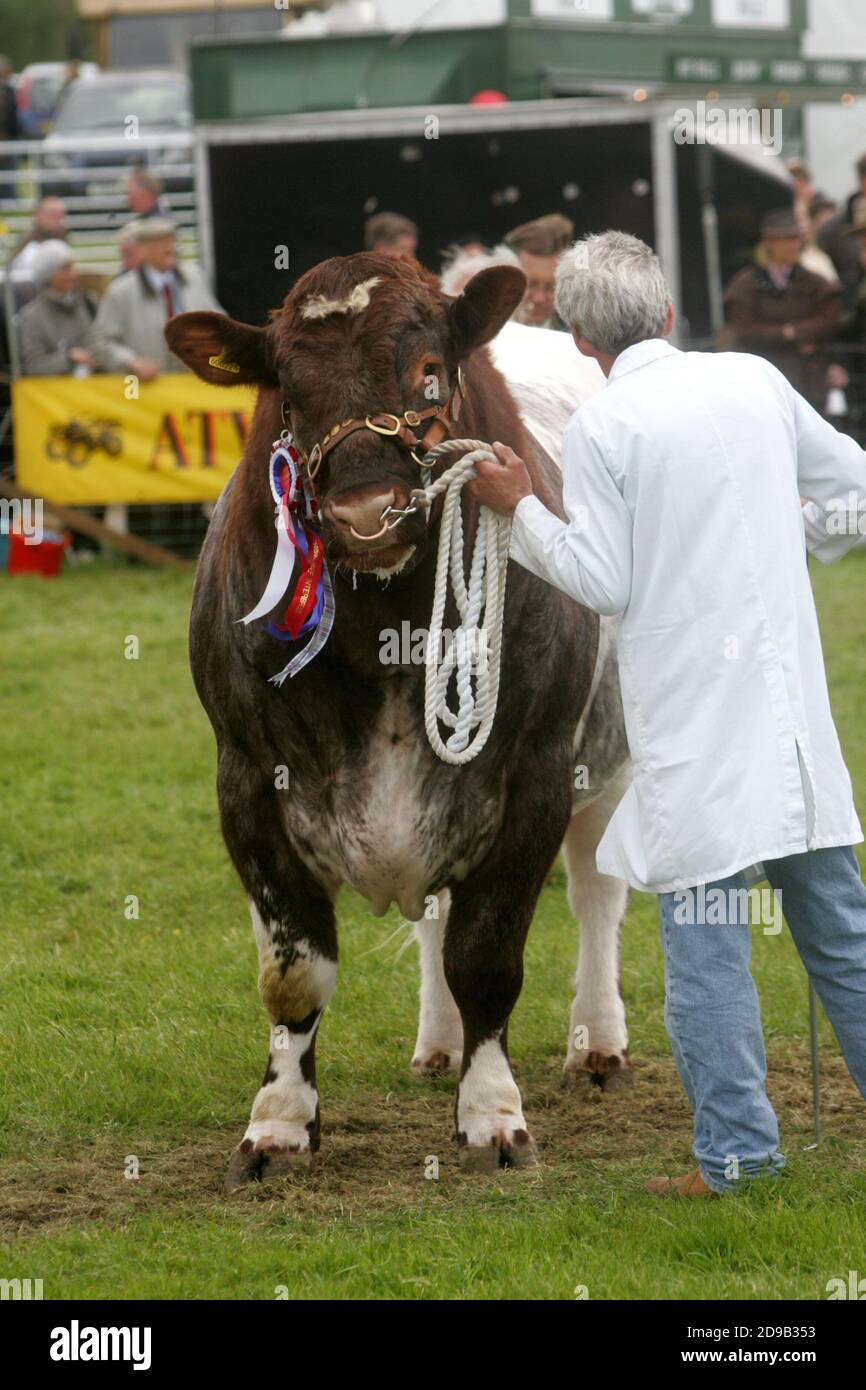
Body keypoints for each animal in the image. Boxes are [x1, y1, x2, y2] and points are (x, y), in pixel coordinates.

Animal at [165, 252, 632, 1190]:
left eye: (427, 372)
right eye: (289, 392)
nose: (362, 511)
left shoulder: (531, 773)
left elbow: (488, 957)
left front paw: (494, 1117)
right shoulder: (247, 780)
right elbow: (295, 975)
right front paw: (277, 1125)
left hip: (608, 759)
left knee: (597, 892)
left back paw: (597, 1043)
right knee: (435, 919)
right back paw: (440, 1045)